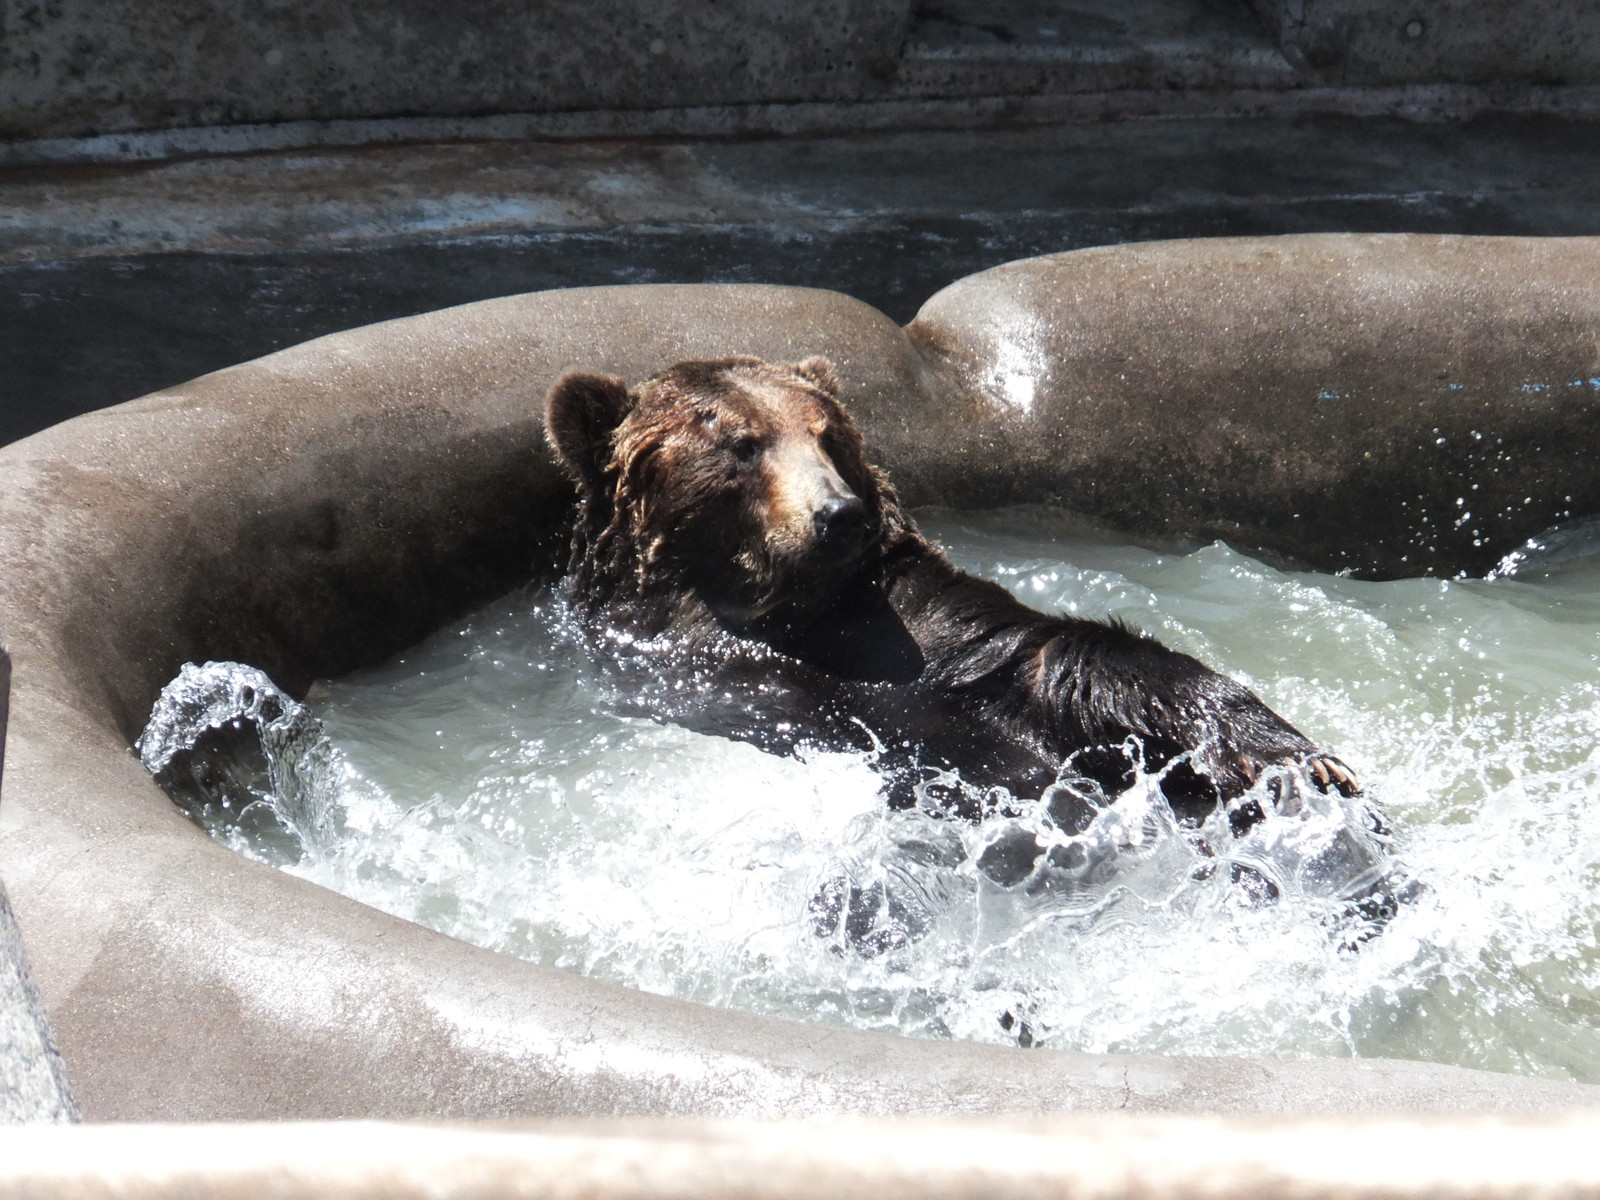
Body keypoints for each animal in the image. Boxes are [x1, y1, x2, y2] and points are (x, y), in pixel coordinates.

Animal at [542, 354, 1372, 847]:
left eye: (826, 435)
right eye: (742, 445)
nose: (838, 514)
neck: (788, 614)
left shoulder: (927, 632)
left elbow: (1064, 662)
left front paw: (1300, 758)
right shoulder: (681, 665)